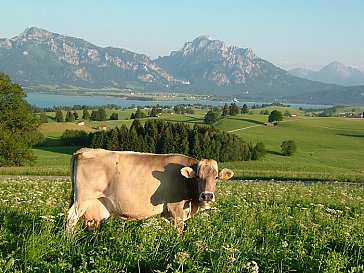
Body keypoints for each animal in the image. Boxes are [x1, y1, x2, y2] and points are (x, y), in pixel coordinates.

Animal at [66, 147, 233, 232]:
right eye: (198, 176)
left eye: (216, 178)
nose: (207, 196)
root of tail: (84, 150)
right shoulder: (176, 209)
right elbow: (179, 231)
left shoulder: (166, 213)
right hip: (82, 199)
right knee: (71, 218)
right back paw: (70, 241)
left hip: (93, 203)